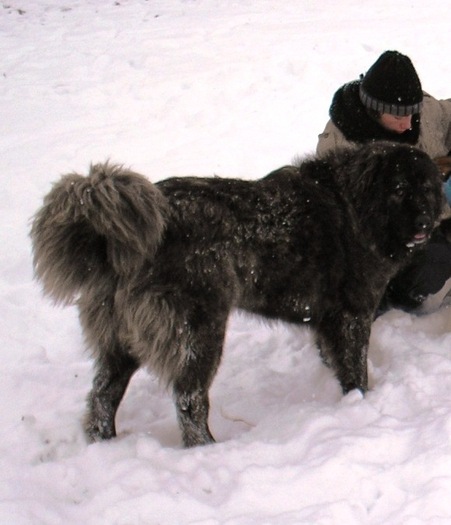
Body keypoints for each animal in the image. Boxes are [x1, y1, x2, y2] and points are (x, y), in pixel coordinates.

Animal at [30, 142, 444, 446]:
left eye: (426, 189)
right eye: (399, 189)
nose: (426, 222)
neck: (358, 207)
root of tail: (113, 242)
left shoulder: (329, 321)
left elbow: (338, 364)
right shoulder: (352, 315)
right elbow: (356, 369)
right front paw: (364, 404)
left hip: (122, 341)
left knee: (102, 395)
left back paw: (105, 441)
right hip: (200, 334)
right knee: (190, 400)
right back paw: (207, 449)